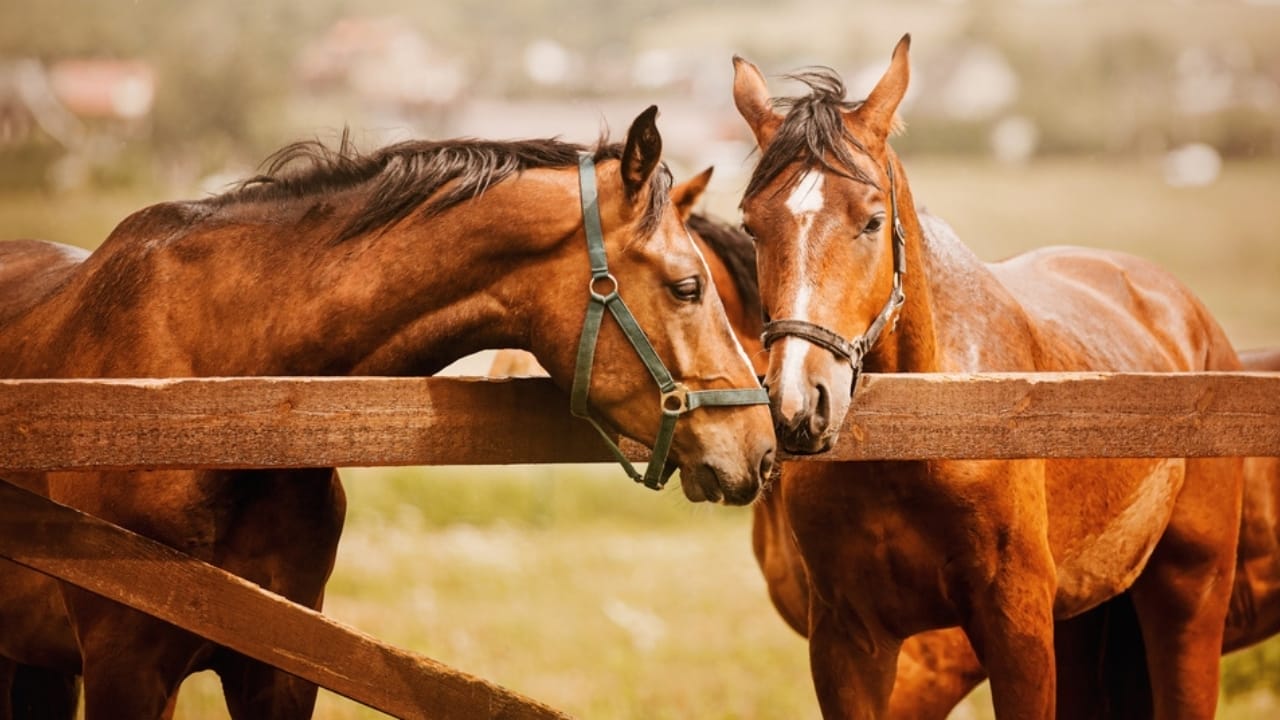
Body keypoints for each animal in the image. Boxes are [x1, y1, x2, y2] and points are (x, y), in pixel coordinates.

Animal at [732, 35, 1244, 719]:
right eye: (751, 225)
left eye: (871, 220)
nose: (796, 404)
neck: (924, 435)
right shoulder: (847, 642)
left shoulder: (1015, 628)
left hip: (1191, 595)